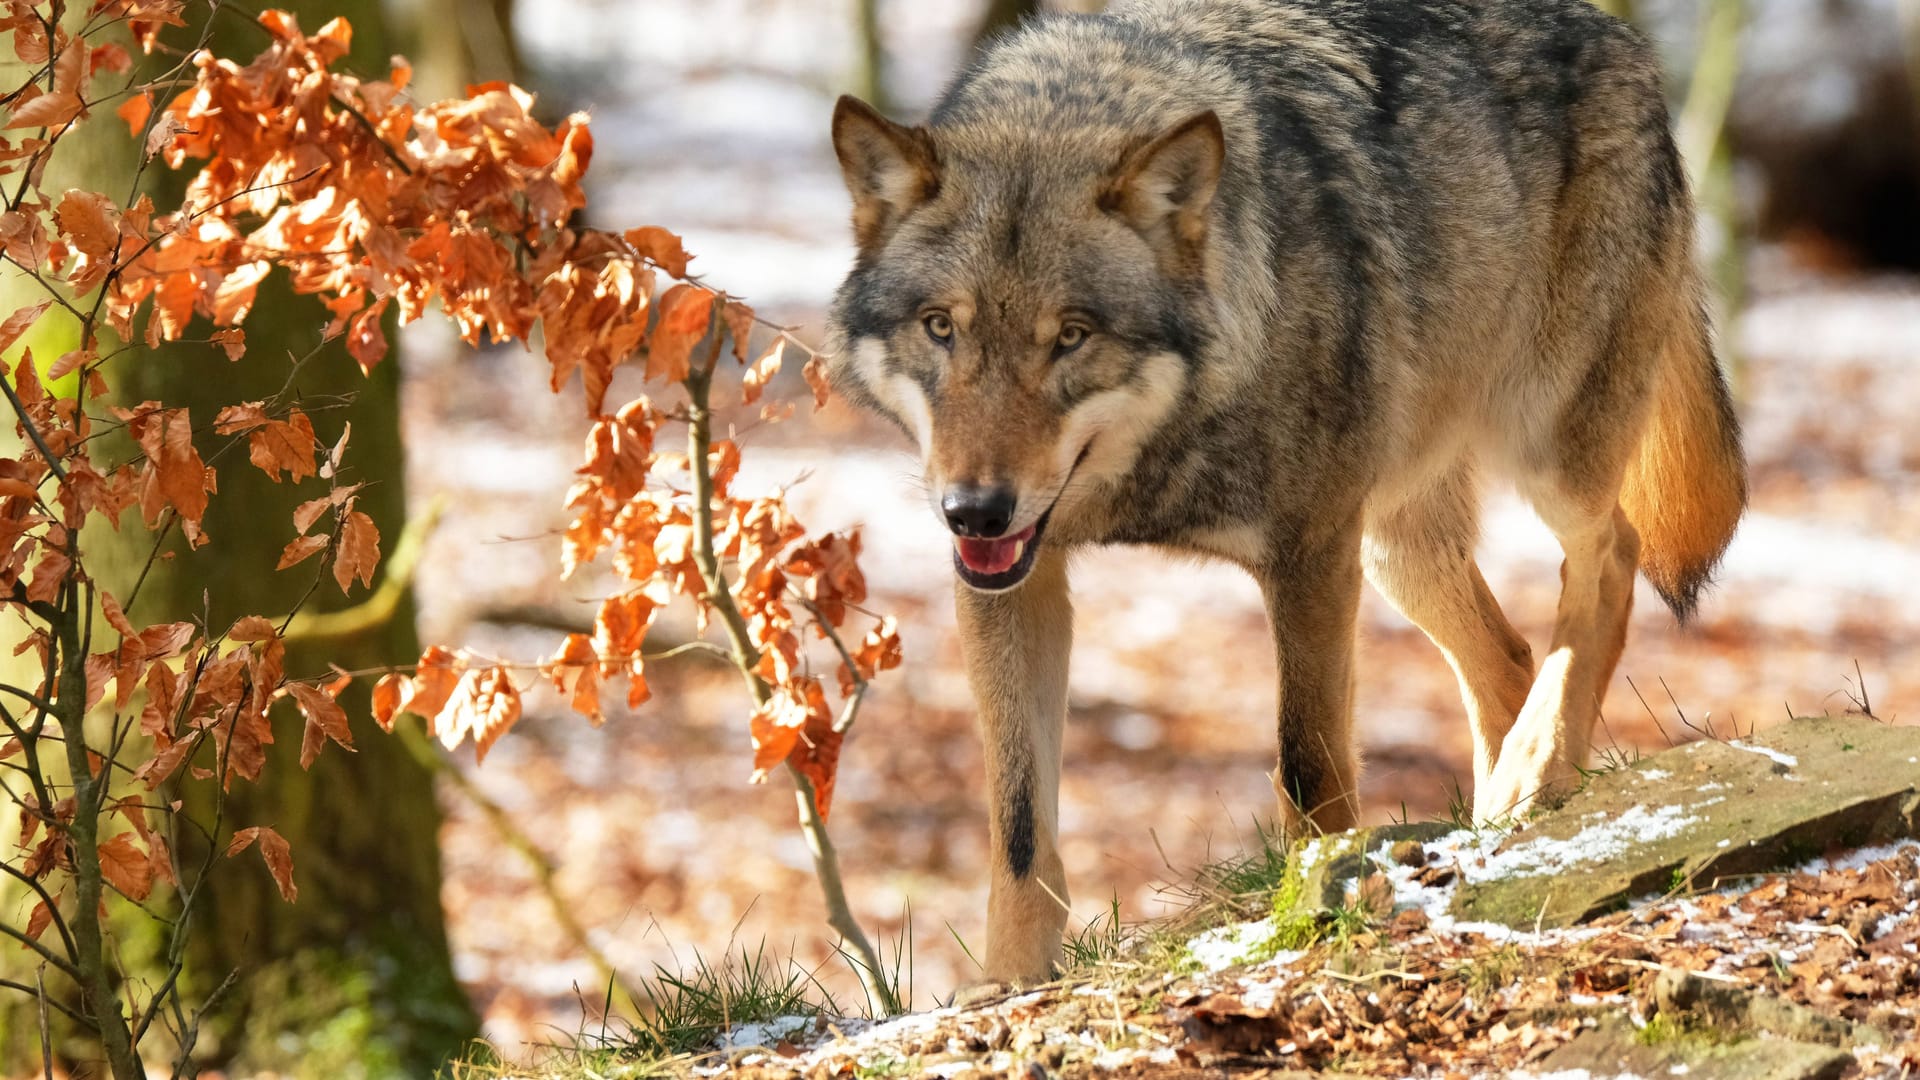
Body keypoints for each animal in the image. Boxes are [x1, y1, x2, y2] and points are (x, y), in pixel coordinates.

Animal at [817, 0, 1751, 983]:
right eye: (941, 328)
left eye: (1070, 336)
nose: (974, 510)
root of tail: (1625, 42)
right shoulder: (1015, 581)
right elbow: (1020, 823)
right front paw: (1010, 986)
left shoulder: (1308, 556)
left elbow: (1310, 767)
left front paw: (1316, 916)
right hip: (1395, 548)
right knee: (1509, 657)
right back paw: (1502, 811)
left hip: (1536, 454)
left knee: (1610, 558)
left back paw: (1534, 772)